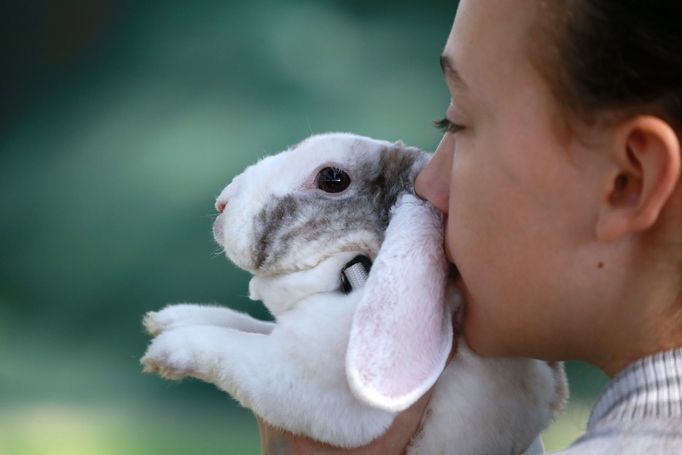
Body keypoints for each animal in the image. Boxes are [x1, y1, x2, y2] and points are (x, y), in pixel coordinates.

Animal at [141, 133, 564, 455]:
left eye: (333, 178)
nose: (222, 203)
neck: (352, 274)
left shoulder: (306, 382)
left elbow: (230, 346)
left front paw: (166, 350)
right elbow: (246, 324)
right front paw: (170, 318)